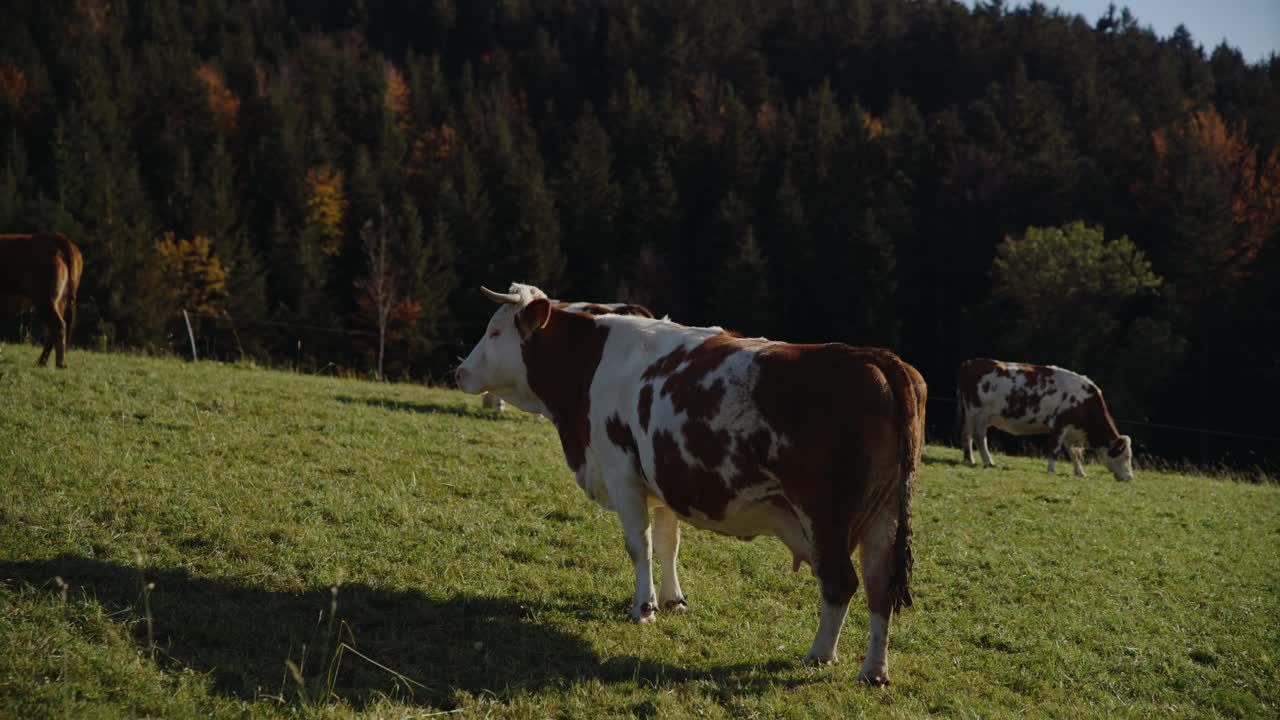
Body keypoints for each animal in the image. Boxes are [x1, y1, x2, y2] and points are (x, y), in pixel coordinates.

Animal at [0, 233, 84, 366]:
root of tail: (58, 238)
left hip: (44, 299)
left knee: (58, 326)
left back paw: (59, 364)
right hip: (59, 300)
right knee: (52, 332)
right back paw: (42, 362)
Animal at [455, 283, 926, 681]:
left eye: (494, 331)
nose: (459, 372)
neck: (591, 363)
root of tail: (871, 356)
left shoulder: (621, 471)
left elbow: (639, 543)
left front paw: (644, 607)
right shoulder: (662, 479)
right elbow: (668, 543)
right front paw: (672, 599)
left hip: (825, 516)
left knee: (841, 583)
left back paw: (820, 655)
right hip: (883, 516)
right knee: (880, 587)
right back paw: (873, 671)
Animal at [957, 356, 1136, 479]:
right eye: (1126, 456)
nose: (1130, 478)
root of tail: (971, 362)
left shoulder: (1071, 431)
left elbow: (1074, 453)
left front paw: (1080, 472)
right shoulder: (1060, 425)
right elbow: (1054, 449)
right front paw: (1051, 470)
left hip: (977, 415)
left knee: (971, 435)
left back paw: (973, 459)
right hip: (976, 412)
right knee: (977, 437)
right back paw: (984, 461)